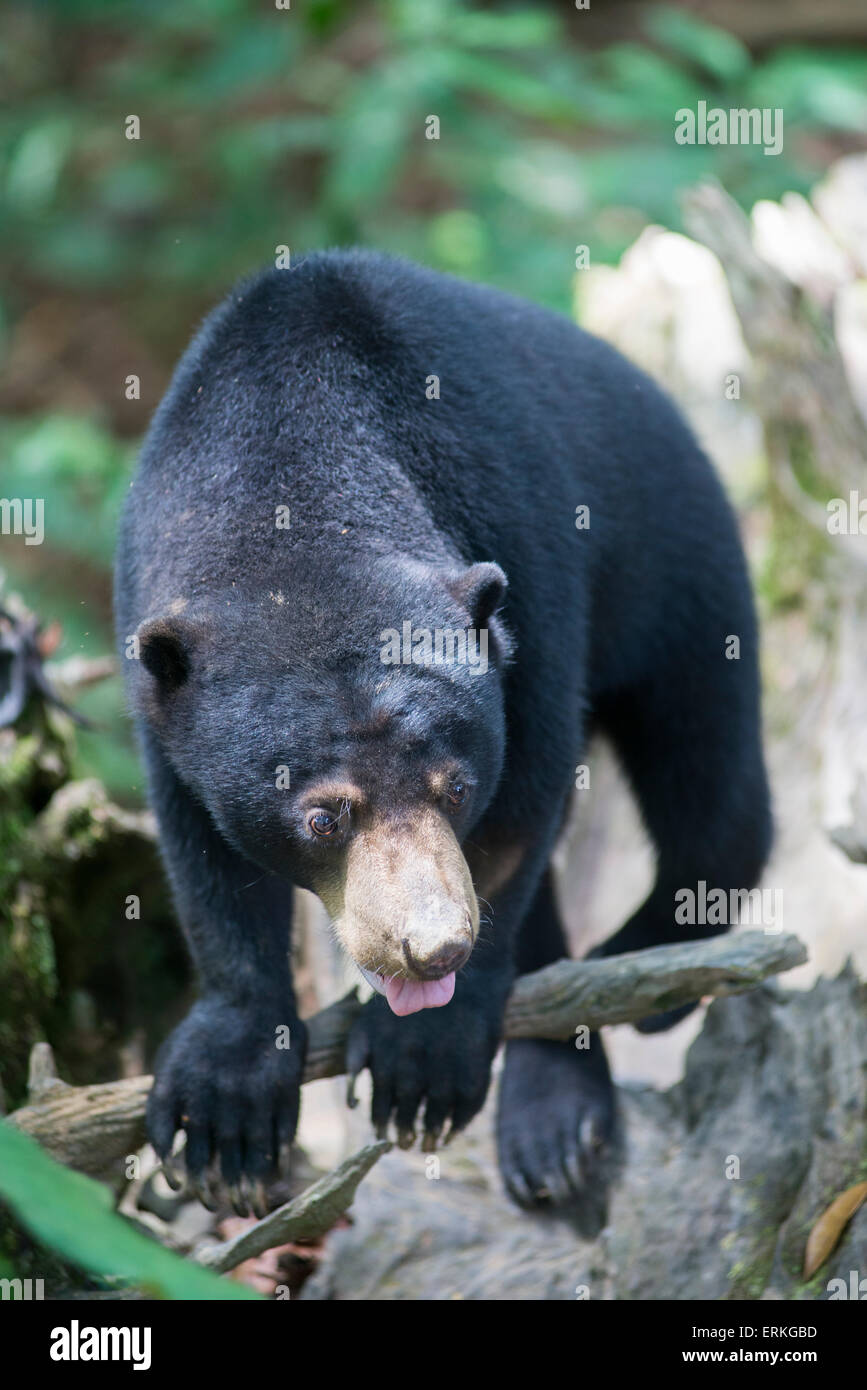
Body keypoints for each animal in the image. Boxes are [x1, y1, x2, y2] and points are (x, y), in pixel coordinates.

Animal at [115, 250, 772, 1217]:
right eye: (322, 817)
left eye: (454, 788)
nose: (432, 948)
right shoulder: (159, 671)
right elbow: (206, 860)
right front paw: (224, 1118)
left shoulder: (525, 565)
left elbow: (521, 803)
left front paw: (423, 1061)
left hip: (679, 569)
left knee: (706, 782)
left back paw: (643, 976)